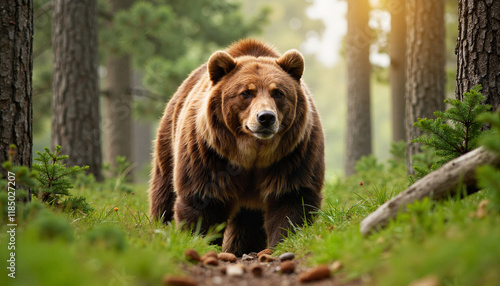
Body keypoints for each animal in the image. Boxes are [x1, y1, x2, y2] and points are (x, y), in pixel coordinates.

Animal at [149, 38, 324, 255]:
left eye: (278, 93)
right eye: (246, 93)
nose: (266, 117)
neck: (252, 154)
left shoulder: (294, 156)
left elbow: (292, 200)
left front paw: (282, 243)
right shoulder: (208, 155)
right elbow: (203, 200)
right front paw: (200, 240)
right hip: (169, 142)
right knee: (163, 190)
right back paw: (161, 227)